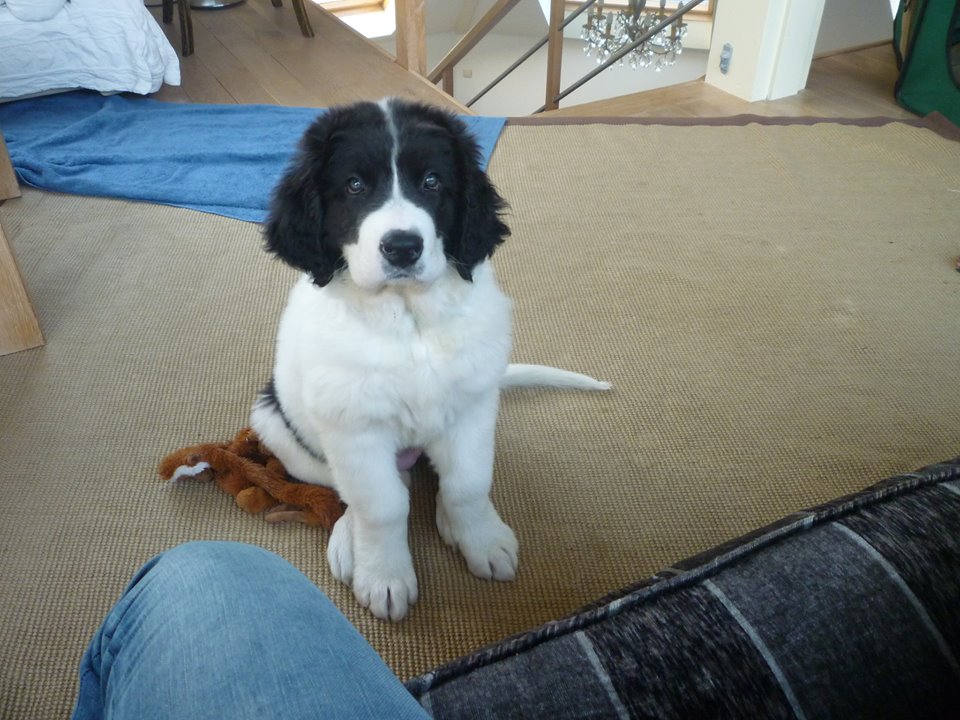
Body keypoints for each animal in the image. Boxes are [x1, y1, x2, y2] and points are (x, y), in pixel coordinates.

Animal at [251, 98, 608, 621]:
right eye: (354, 185)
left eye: (432, 182)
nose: (402, 247)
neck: (409, 321)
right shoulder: (354, 429)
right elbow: (381, 506)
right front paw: (384, 576)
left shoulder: (472, 409)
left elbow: (468, 483)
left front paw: (481, 539)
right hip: (280, 428)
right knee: (358, 492)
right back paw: (349, 541)